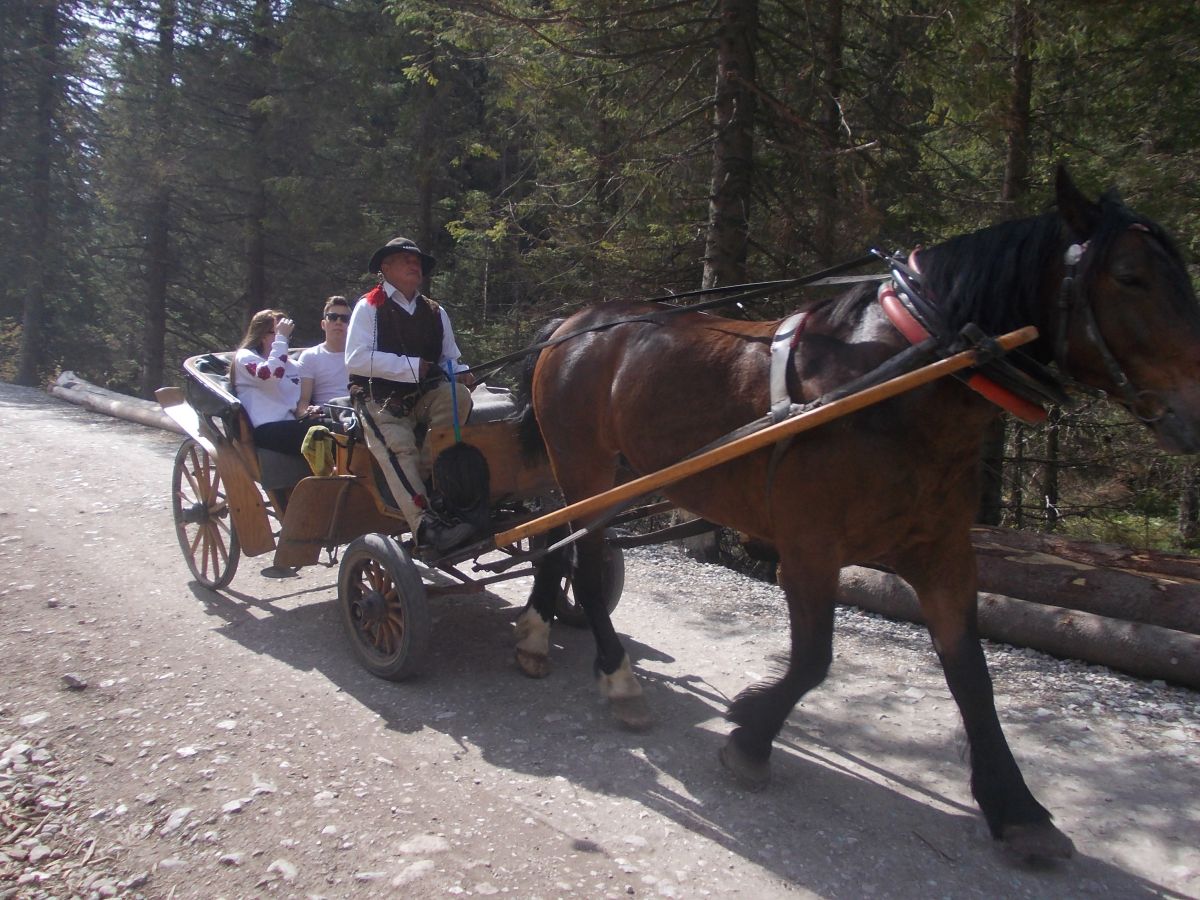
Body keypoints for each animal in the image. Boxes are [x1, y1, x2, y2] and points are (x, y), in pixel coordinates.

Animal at [511, 165, 1200, 864]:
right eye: (1130, 277)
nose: (1193, 410)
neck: (892, 380)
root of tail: (574, 323)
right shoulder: (809, 549)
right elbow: (814, 659)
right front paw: (752, 733)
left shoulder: (943, 553)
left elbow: (971, 675)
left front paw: (1016, 807)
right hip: (583, 464)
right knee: (582, 562)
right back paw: (616, 676)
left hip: (603, 472)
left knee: (556, 544)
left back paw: (539, 634)